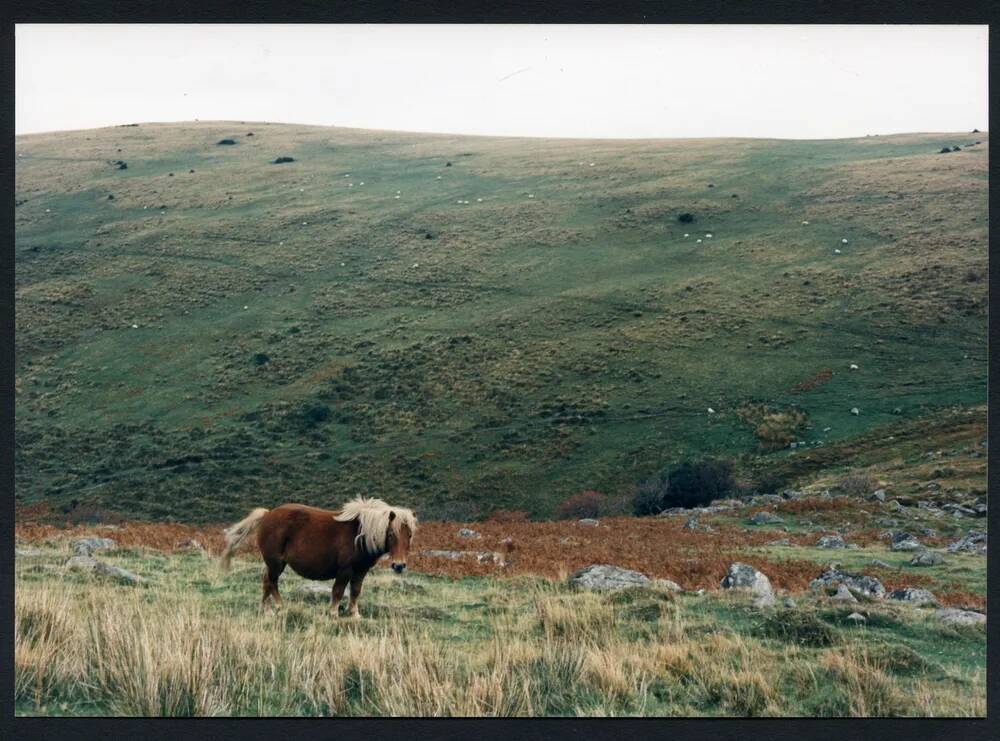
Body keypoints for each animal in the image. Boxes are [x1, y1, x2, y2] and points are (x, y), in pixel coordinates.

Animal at [221, 500, 416, 616]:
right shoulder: (345, 570)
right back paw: (278, 607)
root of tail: (267, 515)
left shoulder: (361, 571)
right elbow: (338, 591)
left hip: (274, 564)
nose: (399, 566)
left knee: (266, 581)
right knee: (271, 582)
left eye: (410, 535)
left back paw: (266, 608)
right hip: (275, 563)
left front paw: (354, 614)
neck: (360, 533)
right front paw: (333, 613)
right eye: (391, 534)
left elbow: (355, 591)